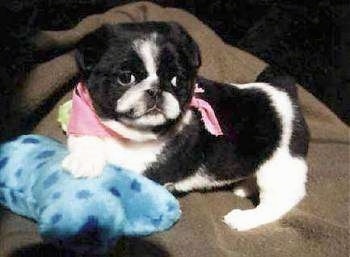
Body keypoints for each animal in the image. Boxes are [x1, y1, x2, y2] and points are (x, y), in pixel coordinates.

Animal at [62, 22, 308, 230]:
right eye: (125, 77)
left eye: (175, 80)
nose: (156, 90)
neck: (131, 134)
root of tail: (284, 92)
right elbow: (85, 136)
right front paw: (84, 160)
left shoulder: (146, 168)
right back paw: (244, 187)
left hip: (281, 166)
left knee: (280, 200)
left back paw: (245, 218)